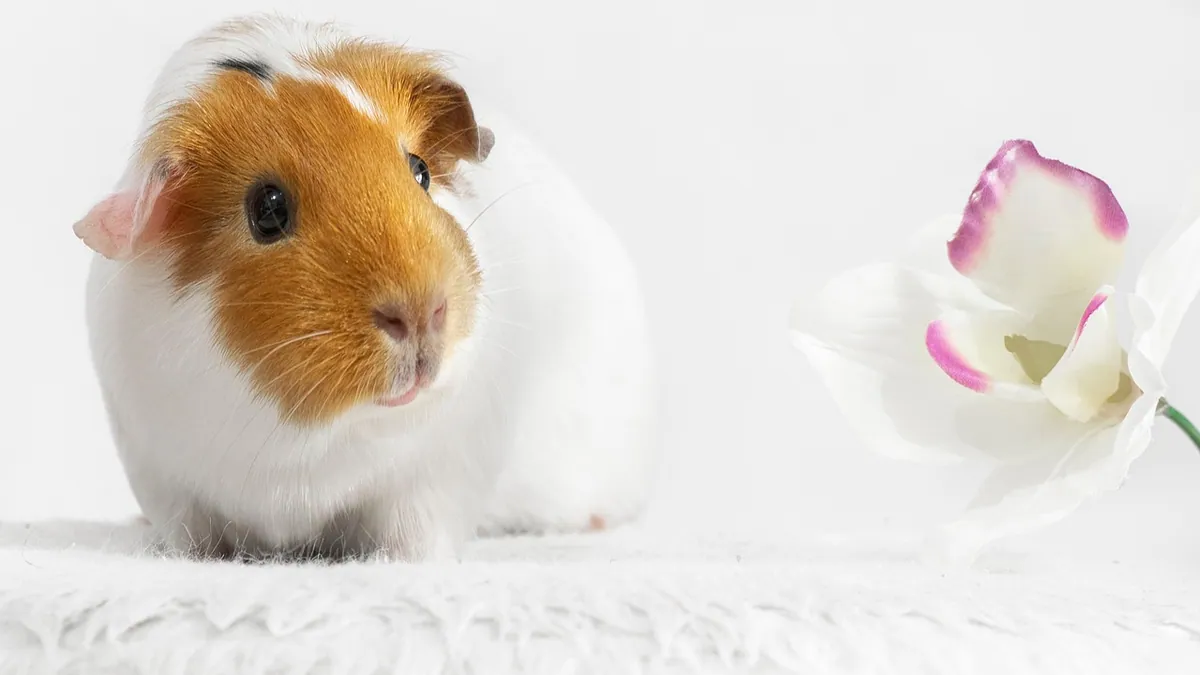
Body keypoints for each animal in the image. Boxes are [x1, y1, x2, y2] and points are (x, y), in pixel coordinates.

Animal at [73, 14, 660, 561]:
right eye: (268, 209)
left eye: (419, 170)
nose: (421, 313)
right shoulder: (164, 481)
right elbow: (193, 540)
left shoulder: (433, 481)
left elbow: (413, 540)